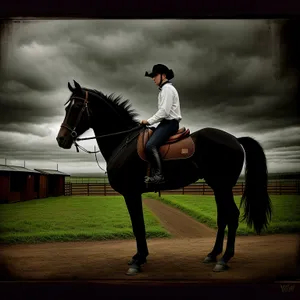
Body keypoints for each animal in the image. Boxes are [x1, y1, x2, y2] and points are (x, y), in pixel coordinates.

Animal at [56, 79, 272, 274]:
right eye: (66, 107)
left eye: (76, 107)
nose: (61, 139)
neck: (123, 141)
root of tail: (235, 139)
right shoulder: (132, 194)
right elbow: (138, 225)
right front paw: (139, 257)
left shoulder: (131, 193)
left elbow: (138, 226)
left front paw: (138, 260)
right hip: (218, 187)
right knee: (223, 217)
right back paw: (212, 255)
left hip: (223, 186)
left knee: (232, 216)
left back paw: (224, 260)